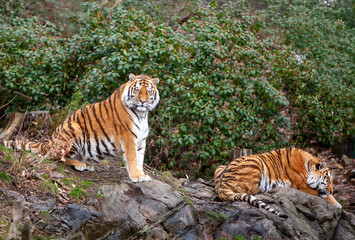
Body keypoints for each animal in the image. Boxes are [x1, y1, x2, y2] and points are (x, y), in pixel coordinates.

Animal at [1, 73, 160, 182]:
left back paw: (86, 164)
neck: (142, 114)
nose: (143, 101)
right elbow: (132, 158)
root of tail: (48, 143)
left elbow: (140, 159)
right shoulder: (128, 137)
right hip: (73, 130)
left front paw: (142, 174)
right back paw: (80, 164)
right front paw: (136, 176)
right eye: (137, 90)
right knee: (55, 157)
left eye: (148, 91)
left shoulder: (140, 140)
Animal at [214, 147, 342, 218]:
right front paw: (338, 204)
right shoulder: (302, 185)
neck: (307, 164)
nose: (331, 190)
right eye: (328, 180)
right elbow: (324, 196)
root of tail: (221, 185)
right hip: (255, 161)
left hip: (220, 166)